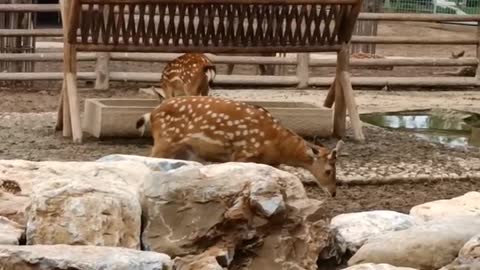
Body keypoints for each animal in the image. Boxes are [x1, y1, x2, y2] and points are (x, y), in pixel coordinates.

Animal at [137, 96, 344, 197]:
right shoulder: (244, 153)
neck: (276, 146)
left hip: (184, 150)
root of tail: (151, 114)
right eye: (328, 170)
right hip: (165, 140)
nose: (333, 192)